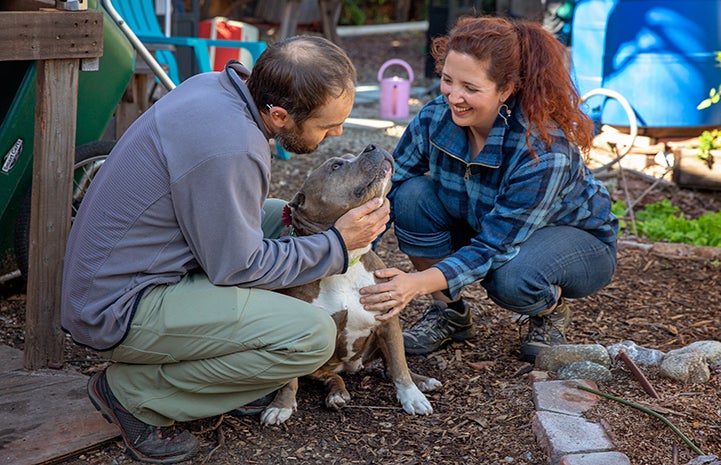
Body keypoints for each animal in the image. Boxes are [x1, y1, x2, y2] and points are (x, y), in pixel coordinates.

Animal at [256, 144, 442, 424]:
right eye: (335, 166)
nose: (371, 146)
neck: (346, 262)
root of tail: (351, 367)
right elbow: (289, 380)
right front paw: (281, 405)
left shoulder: (388, 321)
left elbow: (399, 364)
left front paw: (412, 396)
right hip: (319, 363)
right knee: (329, 376)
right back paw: (337, 394)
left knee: (390, 366)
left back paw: (422, 381)